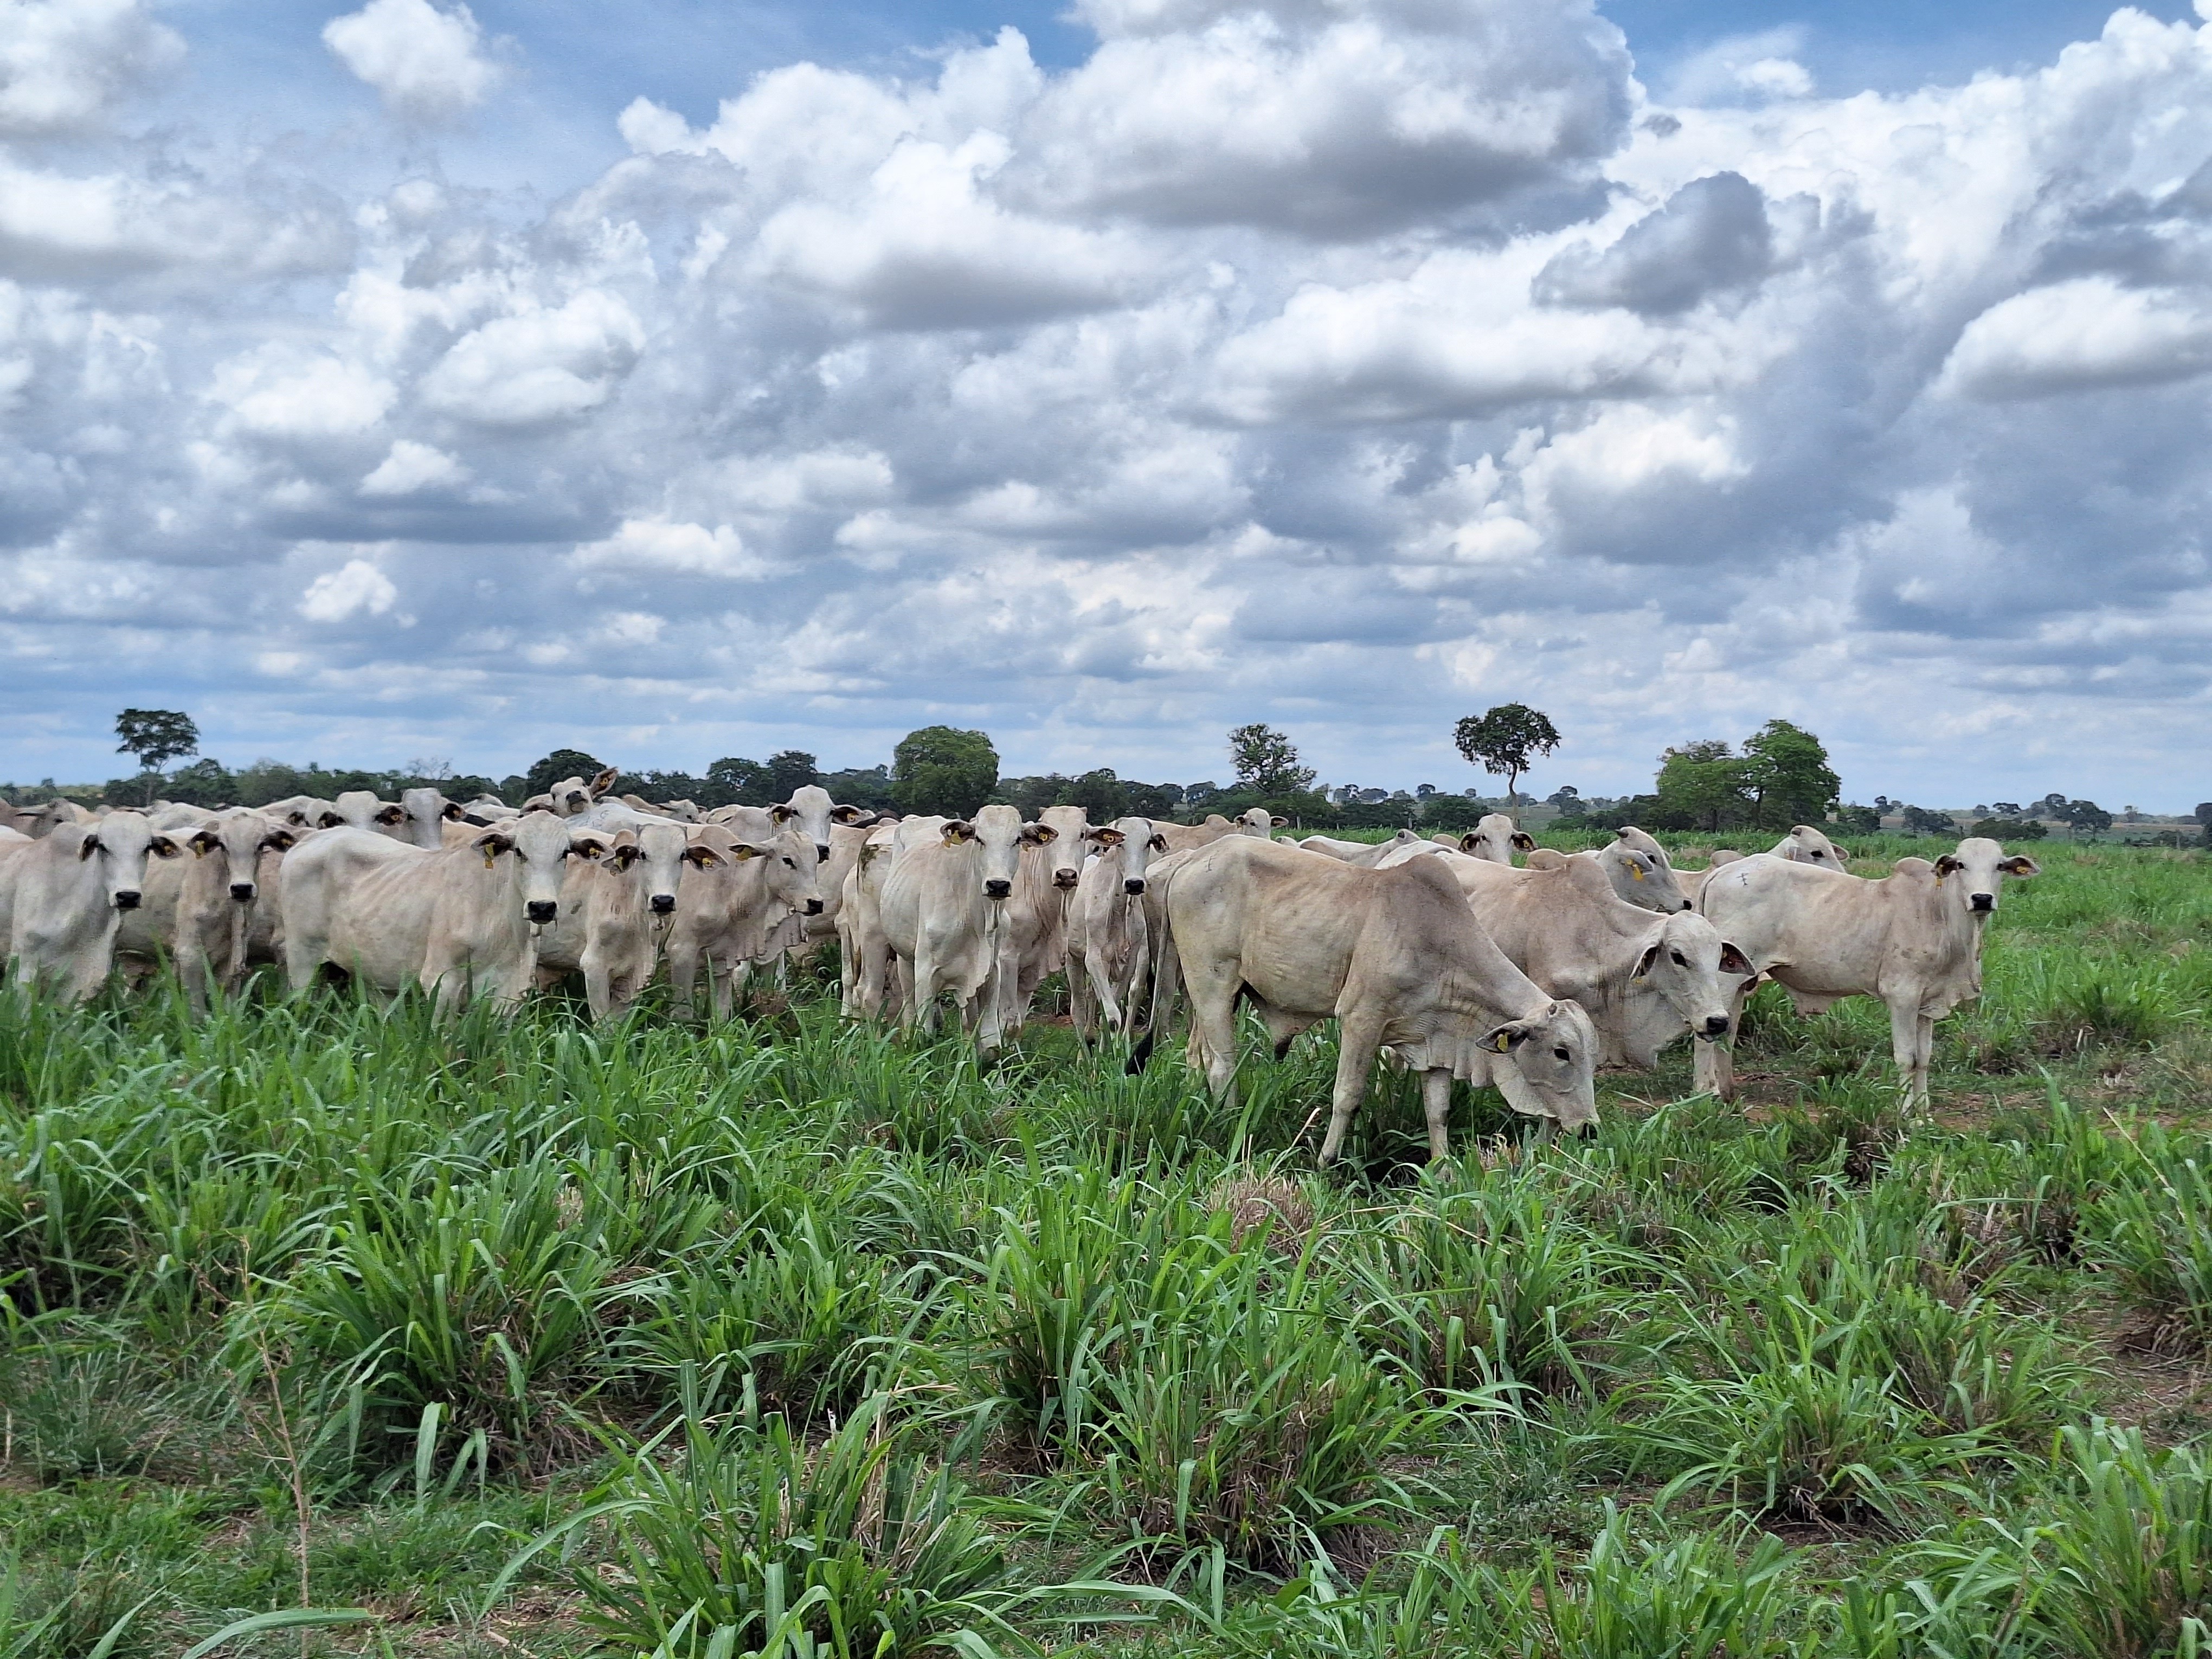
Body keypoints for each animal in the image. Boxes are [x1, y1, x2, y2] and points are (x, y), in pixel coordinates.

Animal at [279, 809, 579, 1013]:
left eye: (565, 853)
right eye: (519, 851)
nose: (542, 907)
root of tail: (308, 841)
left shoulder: (511, 988)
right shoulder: (440, 980)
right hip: (302, 958)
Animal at [664, 827, 832, 1021]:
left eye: (816, 862)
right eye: (788, 860)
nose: (816, 903)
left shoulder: (724, 959)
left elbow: (721, 1013)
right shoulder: (681, 952)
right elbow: (682, 1015)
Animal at [876, 805, 1057, 1053]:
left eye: (1018, 840)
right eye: (979, 839)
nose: (998, 885)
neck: (976, 920)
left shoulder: (990, 971)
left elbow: (991, 1044)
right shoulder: (925, 971)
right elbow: (924, 1036)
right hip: (906, 961)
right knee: (910, 1007)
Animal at [1062, 818, 1168, 1039]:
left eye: (1148, 842)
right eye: (1120, 843)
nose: (1135, 884)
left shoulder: (1130, 962)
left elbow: (1113, 1013)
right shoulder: (1093, 958)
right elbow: (1112, 1017)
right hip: (1072, 957)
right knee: (1077, 1008)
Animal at [1690, 836, 2035, 1110]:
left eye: (1999, 866)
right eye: (1961, 865)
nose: (1982, 899)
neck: (1938, 914)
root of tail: (1721, 872)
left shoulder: (1927, 1003)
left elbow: (1924, 1059)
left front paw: (1923, 1113)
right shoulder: (1902, 996)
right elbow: (1907, 1057)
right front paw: (1907, 1116)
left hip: (1740, 981)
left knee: (1729, 1033)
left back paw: (1728, 1092)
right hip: (1721, 980)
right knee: (1706, 1034)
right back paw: (1706, 1092)